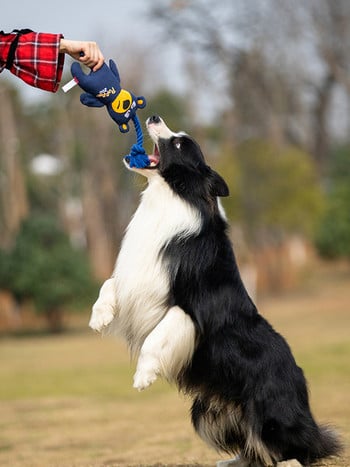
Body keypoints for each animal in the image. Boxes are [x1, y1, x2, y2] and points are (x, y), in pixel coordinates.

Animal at [89, 116, 342, 467]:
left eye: (179, 143)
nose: (153, 117)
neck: (175, 196)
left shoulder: (189, 308)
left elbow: (157, 336)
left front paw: (143, 376)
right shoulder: (139, 274)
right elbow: (110, 282)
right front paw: (98, 317)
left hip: (269, 414)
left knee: (296, 450)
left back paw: (290, 459)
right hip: (206, 412)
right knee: (253, 449)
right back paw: (231, 461)